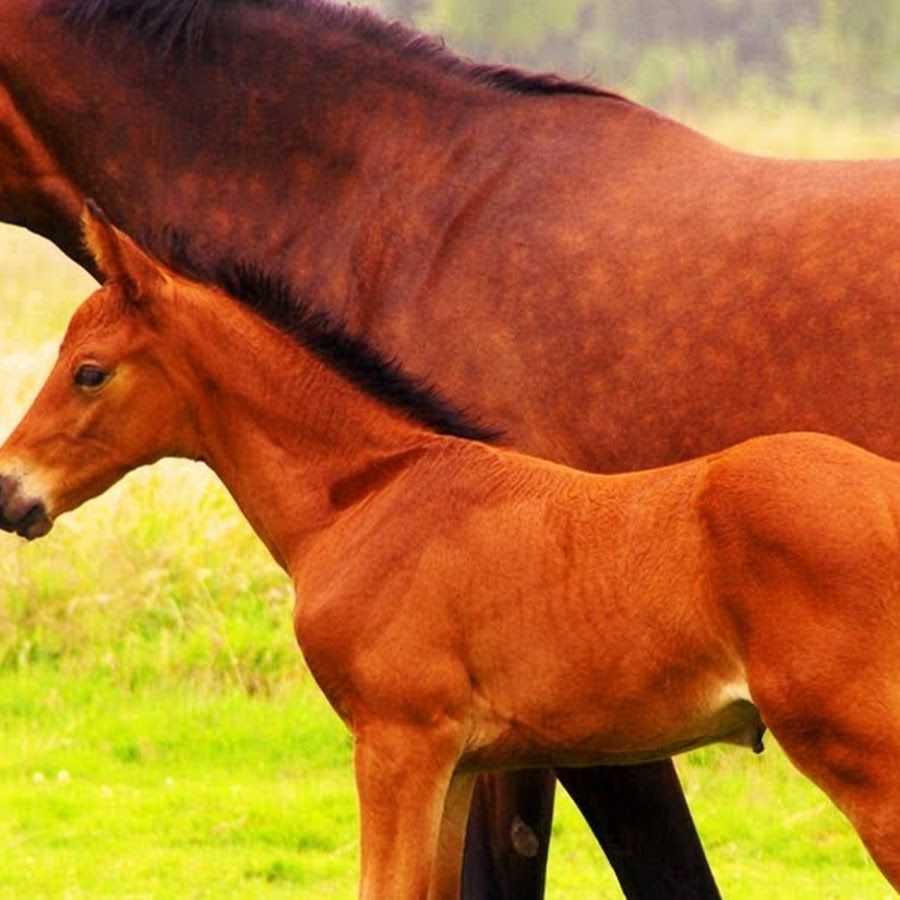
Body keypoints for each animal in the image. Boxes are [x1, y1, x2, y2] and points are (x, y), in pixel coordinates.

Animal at [5, 209, 900, 892]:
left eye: (89, 372)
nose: (11, 492)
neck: (367, 494)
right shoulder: (461, 764)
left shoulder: (399, 743)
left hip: (865, 754)